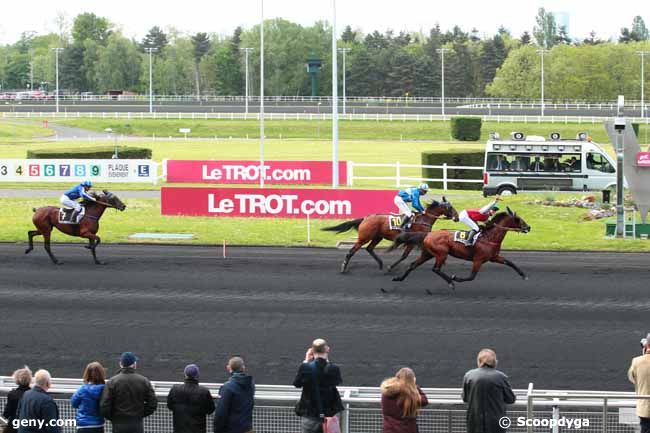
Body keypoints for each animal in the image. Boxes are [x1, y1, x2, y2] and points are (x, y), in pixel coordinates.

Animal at [322, 197, 458, 272]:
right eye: (450, 208)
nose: (457, 217)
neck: (423, 219)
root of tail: (366, 218)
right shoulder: (413, 242)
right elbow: (404, 256)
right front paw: (391, 267)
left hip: (377, 237)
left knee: (369, 248)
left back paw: (380, 264)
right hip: (364, 237)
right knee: (352, 251)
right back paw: (344, 267)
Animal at [388, 207, 528, 290]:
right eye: (518, 219)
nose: (528, 227)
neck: (489, 237)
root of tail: (428, 234)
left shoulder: (494, 257)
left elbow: (510, 262)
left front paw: (523, 275)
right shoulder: (478, 260)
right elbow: (471, 276)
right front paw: (456, 278)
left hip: (428, 253)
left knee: (413, 265)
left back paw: (398, 278)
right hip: (441, 253)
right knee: (436, 269)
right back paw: (451, 282)